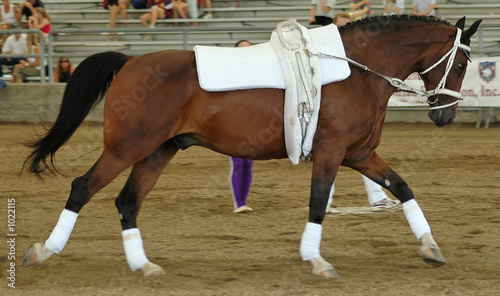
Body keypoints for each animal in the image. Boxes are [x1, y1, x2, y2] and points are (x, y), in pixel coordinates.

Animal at [22, 15, 480, 278]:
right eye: (460, 63)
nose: (445, 116)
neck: (357, 71)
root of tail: (130, 62)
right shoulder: (332, 154)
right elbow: (318, 203)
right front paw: (316, 259)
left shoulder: (359, 155)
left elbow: (403, 188)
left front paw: (431, 247)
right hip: (127, 148)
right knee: (83, 187)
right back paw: (44, 251)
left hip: (157, 151)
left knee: (127, 201)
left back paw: (143, 265)